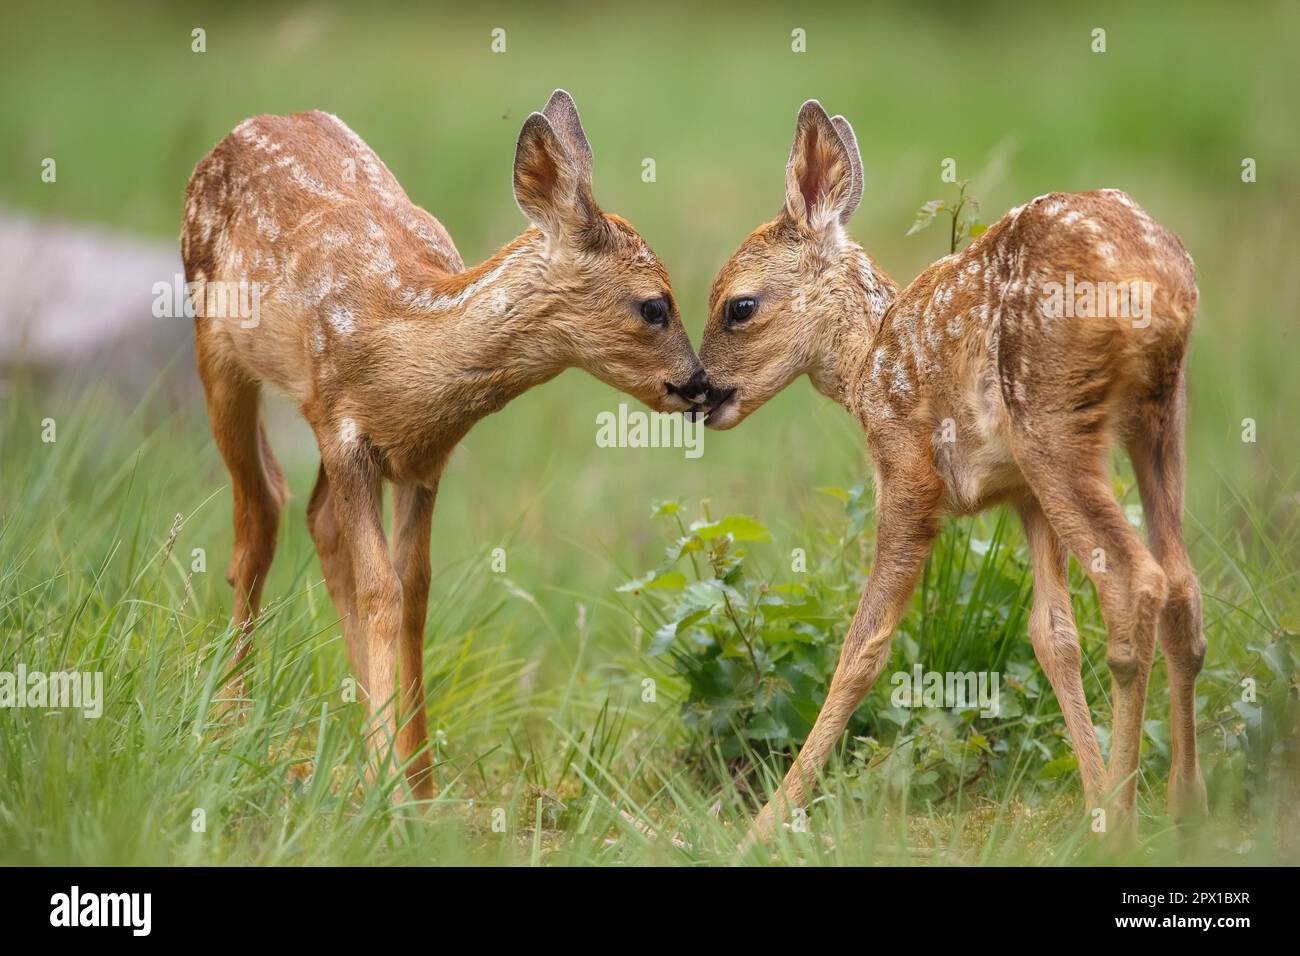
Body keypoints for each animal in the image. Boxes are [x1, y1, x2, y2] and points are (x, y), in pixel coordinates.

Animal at [180, 90, 707, 800]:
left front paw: (420, 786)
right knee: (260, 511)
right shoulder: (343, 432)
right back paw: (230, 721)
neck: (401, 336)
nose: (699, 383)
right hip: (213, 342)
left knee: (314, 518)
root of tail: (244, 129)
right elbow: (381, 591)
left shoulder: (423, 460)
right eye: (655, 305)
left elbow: (414, 588)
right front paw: (388, 781)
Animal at [697, 100, 1206, 848]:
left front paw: (764, 826)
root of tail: (1161, 282)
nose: (698, 393)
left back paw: (1126, 825)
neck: (864, 366)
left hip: (1053, 418)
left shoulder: (907, 469)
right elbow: (1053, 636)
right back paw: (1182, 808)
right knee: (1181, 584)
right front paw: (1089, 796)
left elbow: (864, 646)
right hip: (1156, 416)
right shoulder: (1022, 496)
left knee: (1136, 580)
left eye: (739, 306)